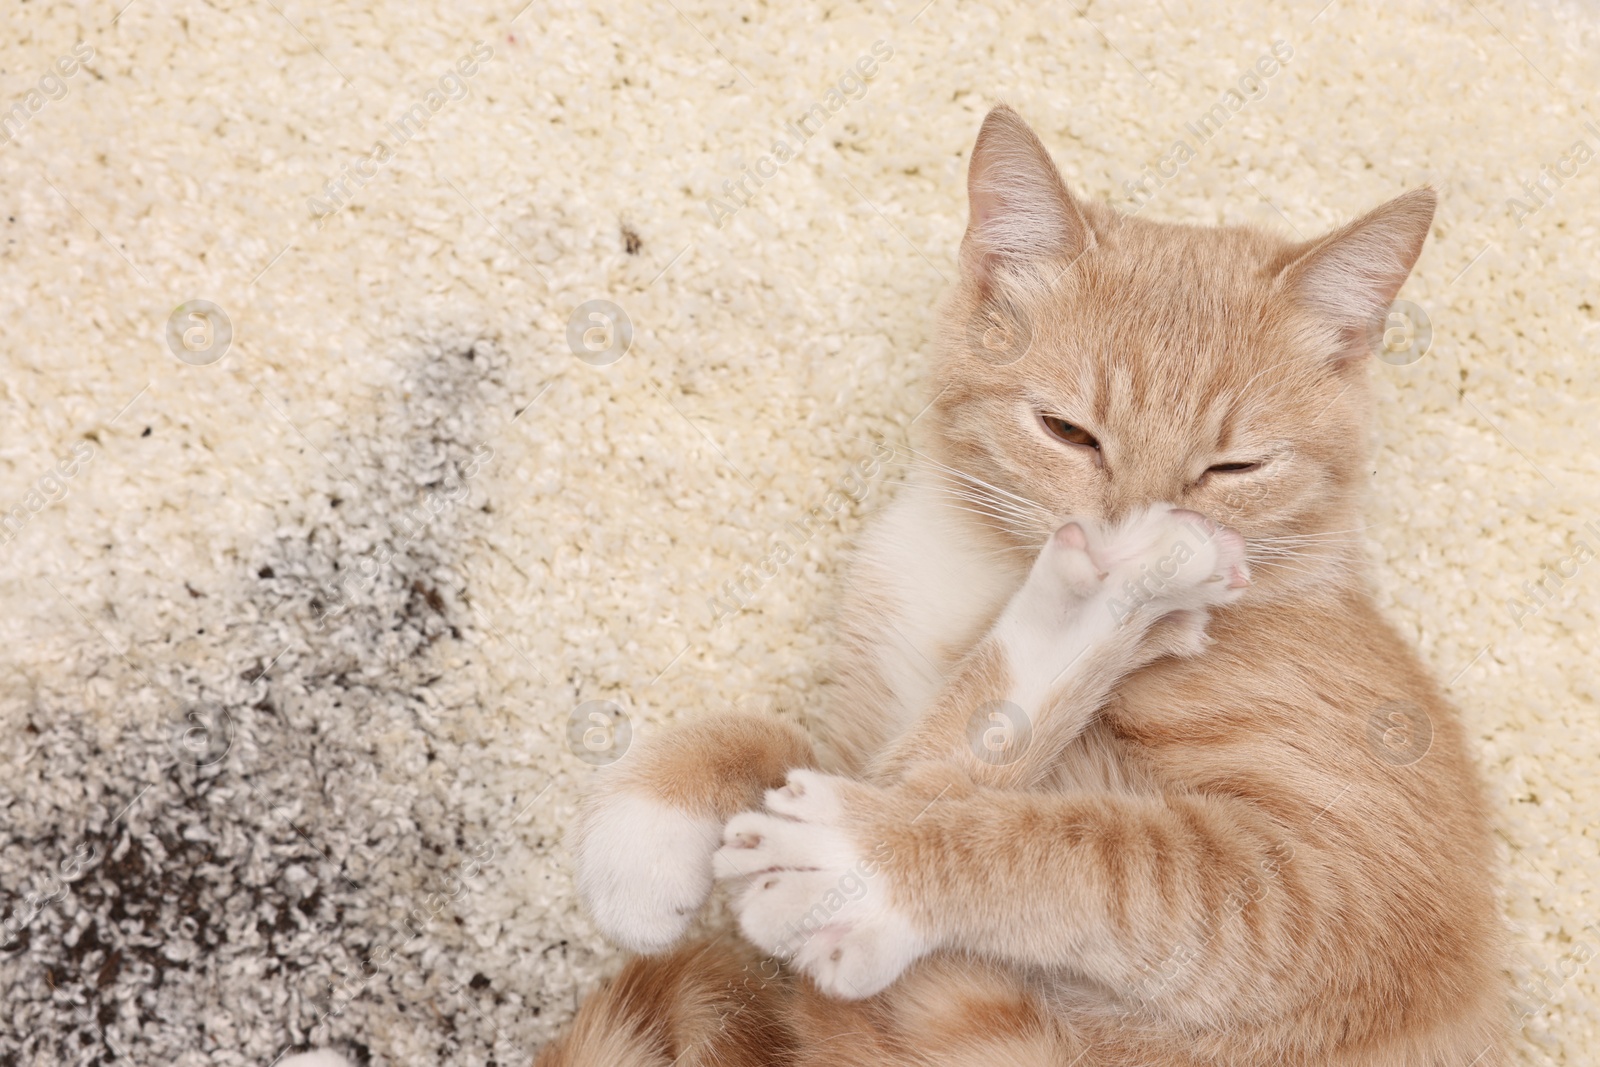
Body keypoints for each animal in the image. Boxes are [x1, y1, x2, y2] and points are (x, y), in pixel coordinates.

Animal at [537, 106, 1497, 1067]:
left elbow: (1101, 850)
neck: (989, 564)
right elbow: (793, 742)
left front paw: (871, 861)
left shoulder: (1337, 891)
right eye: (1068, 431)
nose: (1127, 534)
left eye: (1234, 467)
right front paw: (651, 817)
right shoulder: (863, 732)